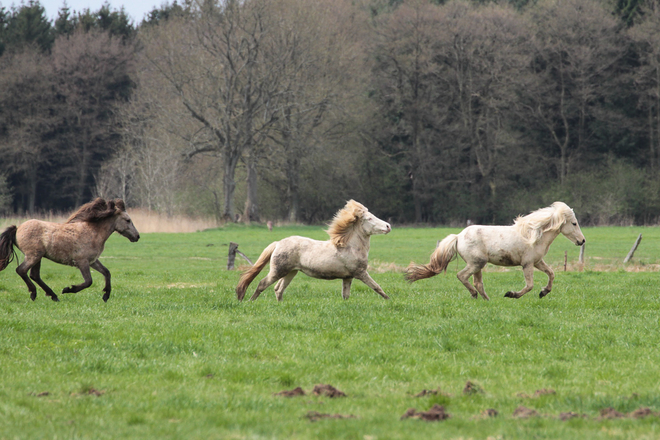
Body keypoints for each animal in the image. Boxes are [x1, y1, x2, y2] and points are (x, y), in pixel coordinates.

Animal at [0, 199, 139, 302]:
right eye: (128, 220)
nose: (137, 236)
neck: (93, 232)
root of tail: (17, 229)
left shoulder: (93, 261)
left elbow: (106, 272)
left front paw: (106, 295)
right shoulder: (82, 261)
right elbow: (88, 281)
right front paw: (68, 289)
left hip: (38, 257)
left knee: (34, 275)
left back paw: (53, 296)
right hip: (33, 256)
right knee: (21, 270)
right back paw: (35, 293)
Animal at [237, 200, 392, 300]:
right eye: (369, 218)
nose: (388, 226)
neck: (350, 247)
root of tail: (278, 243)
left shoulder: (348, 277)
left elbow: (346, 295)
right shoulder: (361, 273)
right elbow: (377, 287)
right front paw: (389, 300)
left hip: (291, 272)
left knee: (278, 289)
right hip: (278, 271)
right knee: (263, 284)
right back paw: (250, 301)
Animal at [404, 202, 584, 300]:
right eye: (574, 223)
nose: (582, 241)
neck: (534, 235)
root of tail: (458, 236)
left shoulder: (537, 262)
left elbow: (551, 274)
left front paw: (544, 292)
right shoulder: (527, 264)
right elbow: (529, 285)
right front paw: (511, 294)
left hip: (478, 266)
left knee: (477, 282)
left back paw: (486, 300)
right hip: (476, 263)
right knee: (462, 276)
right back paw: (476, 295)